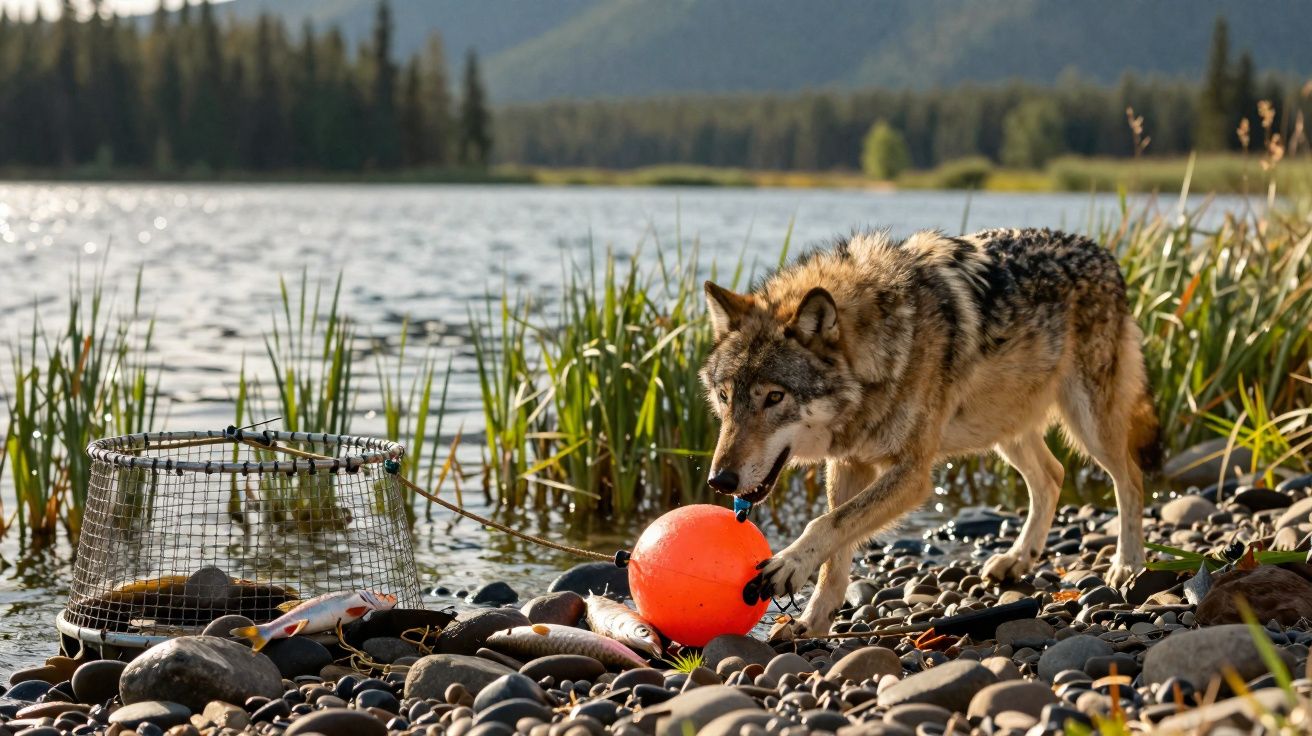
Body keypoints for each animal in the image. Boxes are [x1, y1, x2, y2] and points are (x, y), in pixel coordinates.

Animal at [700, 227, 1160, 641]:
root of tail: (1103, 253)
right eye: (724, 397)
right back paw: (1017, 558)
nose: (719, 480)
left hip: (1089, 426)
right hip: (1004, 430)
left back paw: (1127, 563)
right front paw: (814, 620)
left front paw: (790, 564)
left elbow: (826, 523)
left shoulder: (914, 474)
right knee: (1052, 477)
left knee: (1131, 479)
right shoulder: (849, 464)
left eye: (774, 397)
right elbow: (837, 545)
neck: (882, 346)